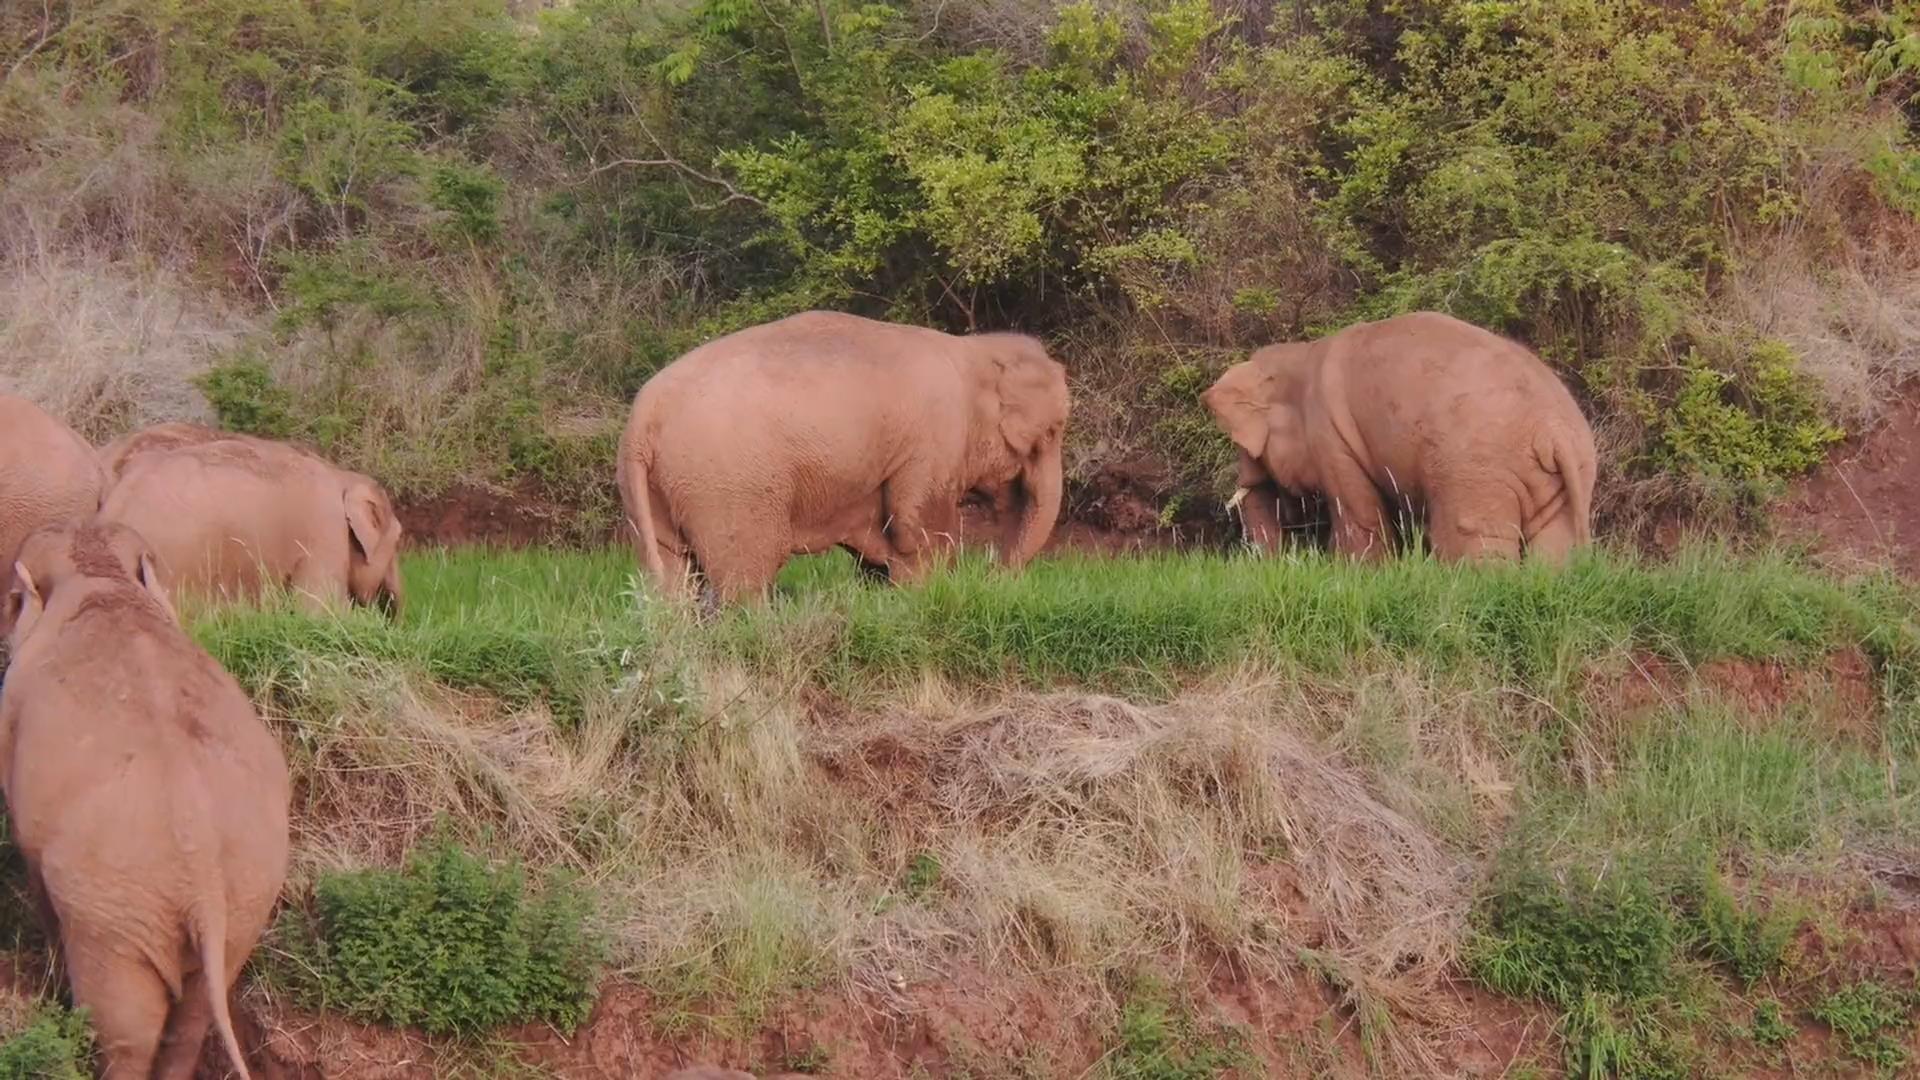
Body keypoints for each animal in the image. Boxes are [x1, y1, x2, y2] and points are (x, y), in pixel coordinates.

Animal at [0, 518, 291, 1068]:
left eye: (10, 599)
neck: (101, 579)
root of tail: (202, 879)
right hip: (246, 902)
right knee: (192, 1017)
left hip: (112, 917)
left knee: (126, 1031)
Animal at [614, 309, 1075, 607]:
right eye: (1052, 432)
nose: (992, 575)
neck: (971, 349)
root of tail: (642, 420)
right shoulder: (933, 440)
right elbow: (918, 529)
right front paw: (923, 595)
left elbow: (878, 543)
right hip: (729, 491)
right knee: (745, 574)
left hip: (655, 492)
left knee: (673, 572)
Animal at [1198, 309, 1605, 557]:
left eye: (1245, 445)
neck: (1302, 355)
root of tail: (1553, 432)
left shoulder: (1331, 436)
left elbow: (1359, 515)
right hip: (1563, 479)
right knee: (1554, 546)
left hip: (1476, 474)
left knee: (1471, 540)